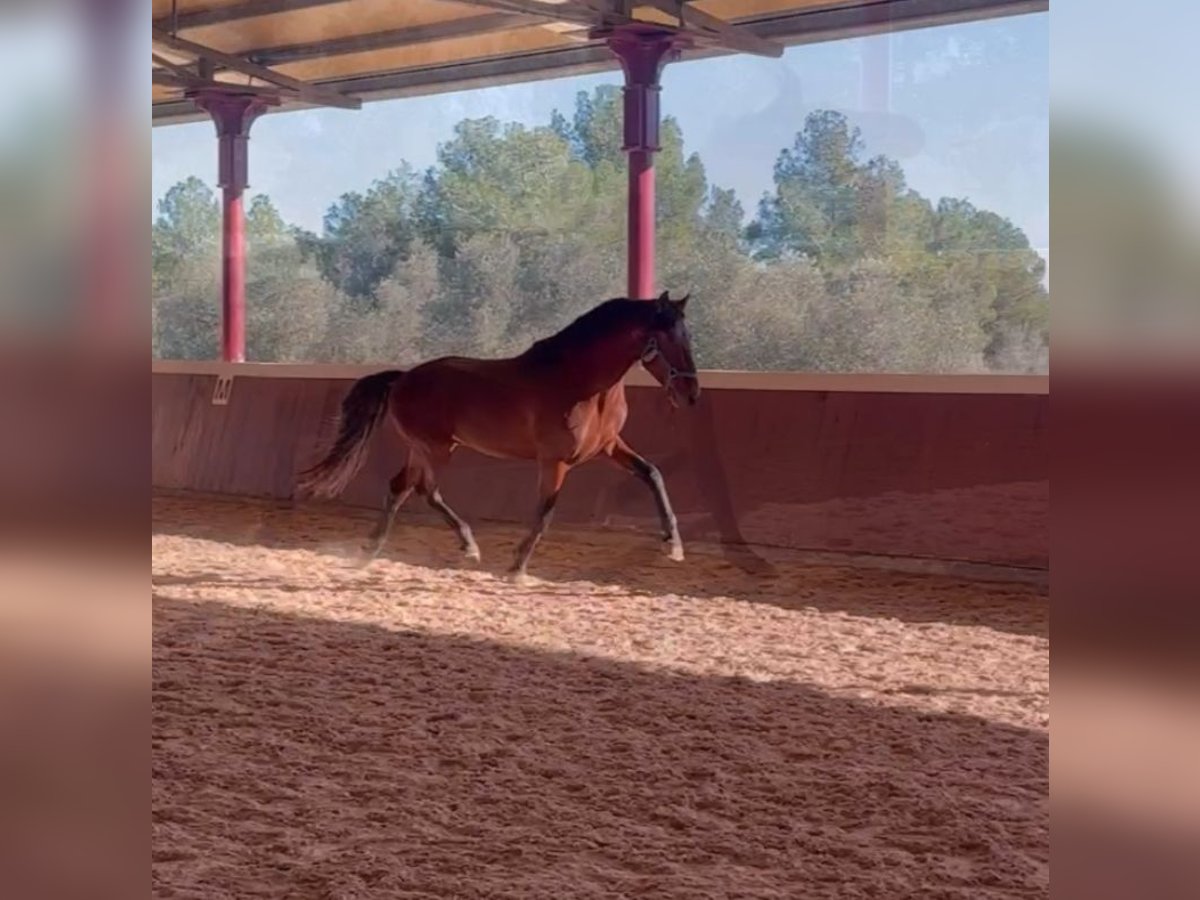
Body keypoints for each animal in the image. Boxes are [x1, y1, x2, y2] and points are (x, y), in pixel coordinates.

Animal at [294, 290, 700, 585]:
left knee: (400, 487)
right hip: (437, 448)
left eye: (688, 338)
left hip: (424, 449)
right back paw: (468, 546)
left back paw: (370, 551)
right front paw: (516, 569)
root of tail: (403, 378)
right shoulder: (554, 461)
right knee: (427, 490)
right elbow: (544, 514)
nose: (691, 394)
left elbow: (653, 474)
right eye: (667, 340)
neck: (582, 384)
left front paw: (673, 545)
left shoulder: (610, 447)